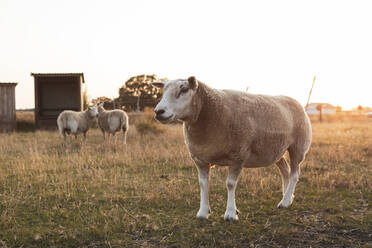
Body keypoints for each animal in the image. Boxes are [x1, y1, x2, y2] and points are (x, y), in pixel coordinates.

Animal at [153, 75, 312, 221]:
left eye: (184, 90)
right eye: (163, 91)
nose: (158, 111)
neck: (211, 111)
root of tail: (295, 101)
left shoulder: (238, 155)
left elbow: (230, 184)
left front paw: (230, 213)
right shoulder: (200, 159)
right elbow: (203, 184)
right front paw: (203, 212)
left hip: (298, 146)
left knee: (294, 174)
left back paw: (285, 200)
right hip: (276, 150)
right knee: (285, 171)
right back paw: (287, 197)